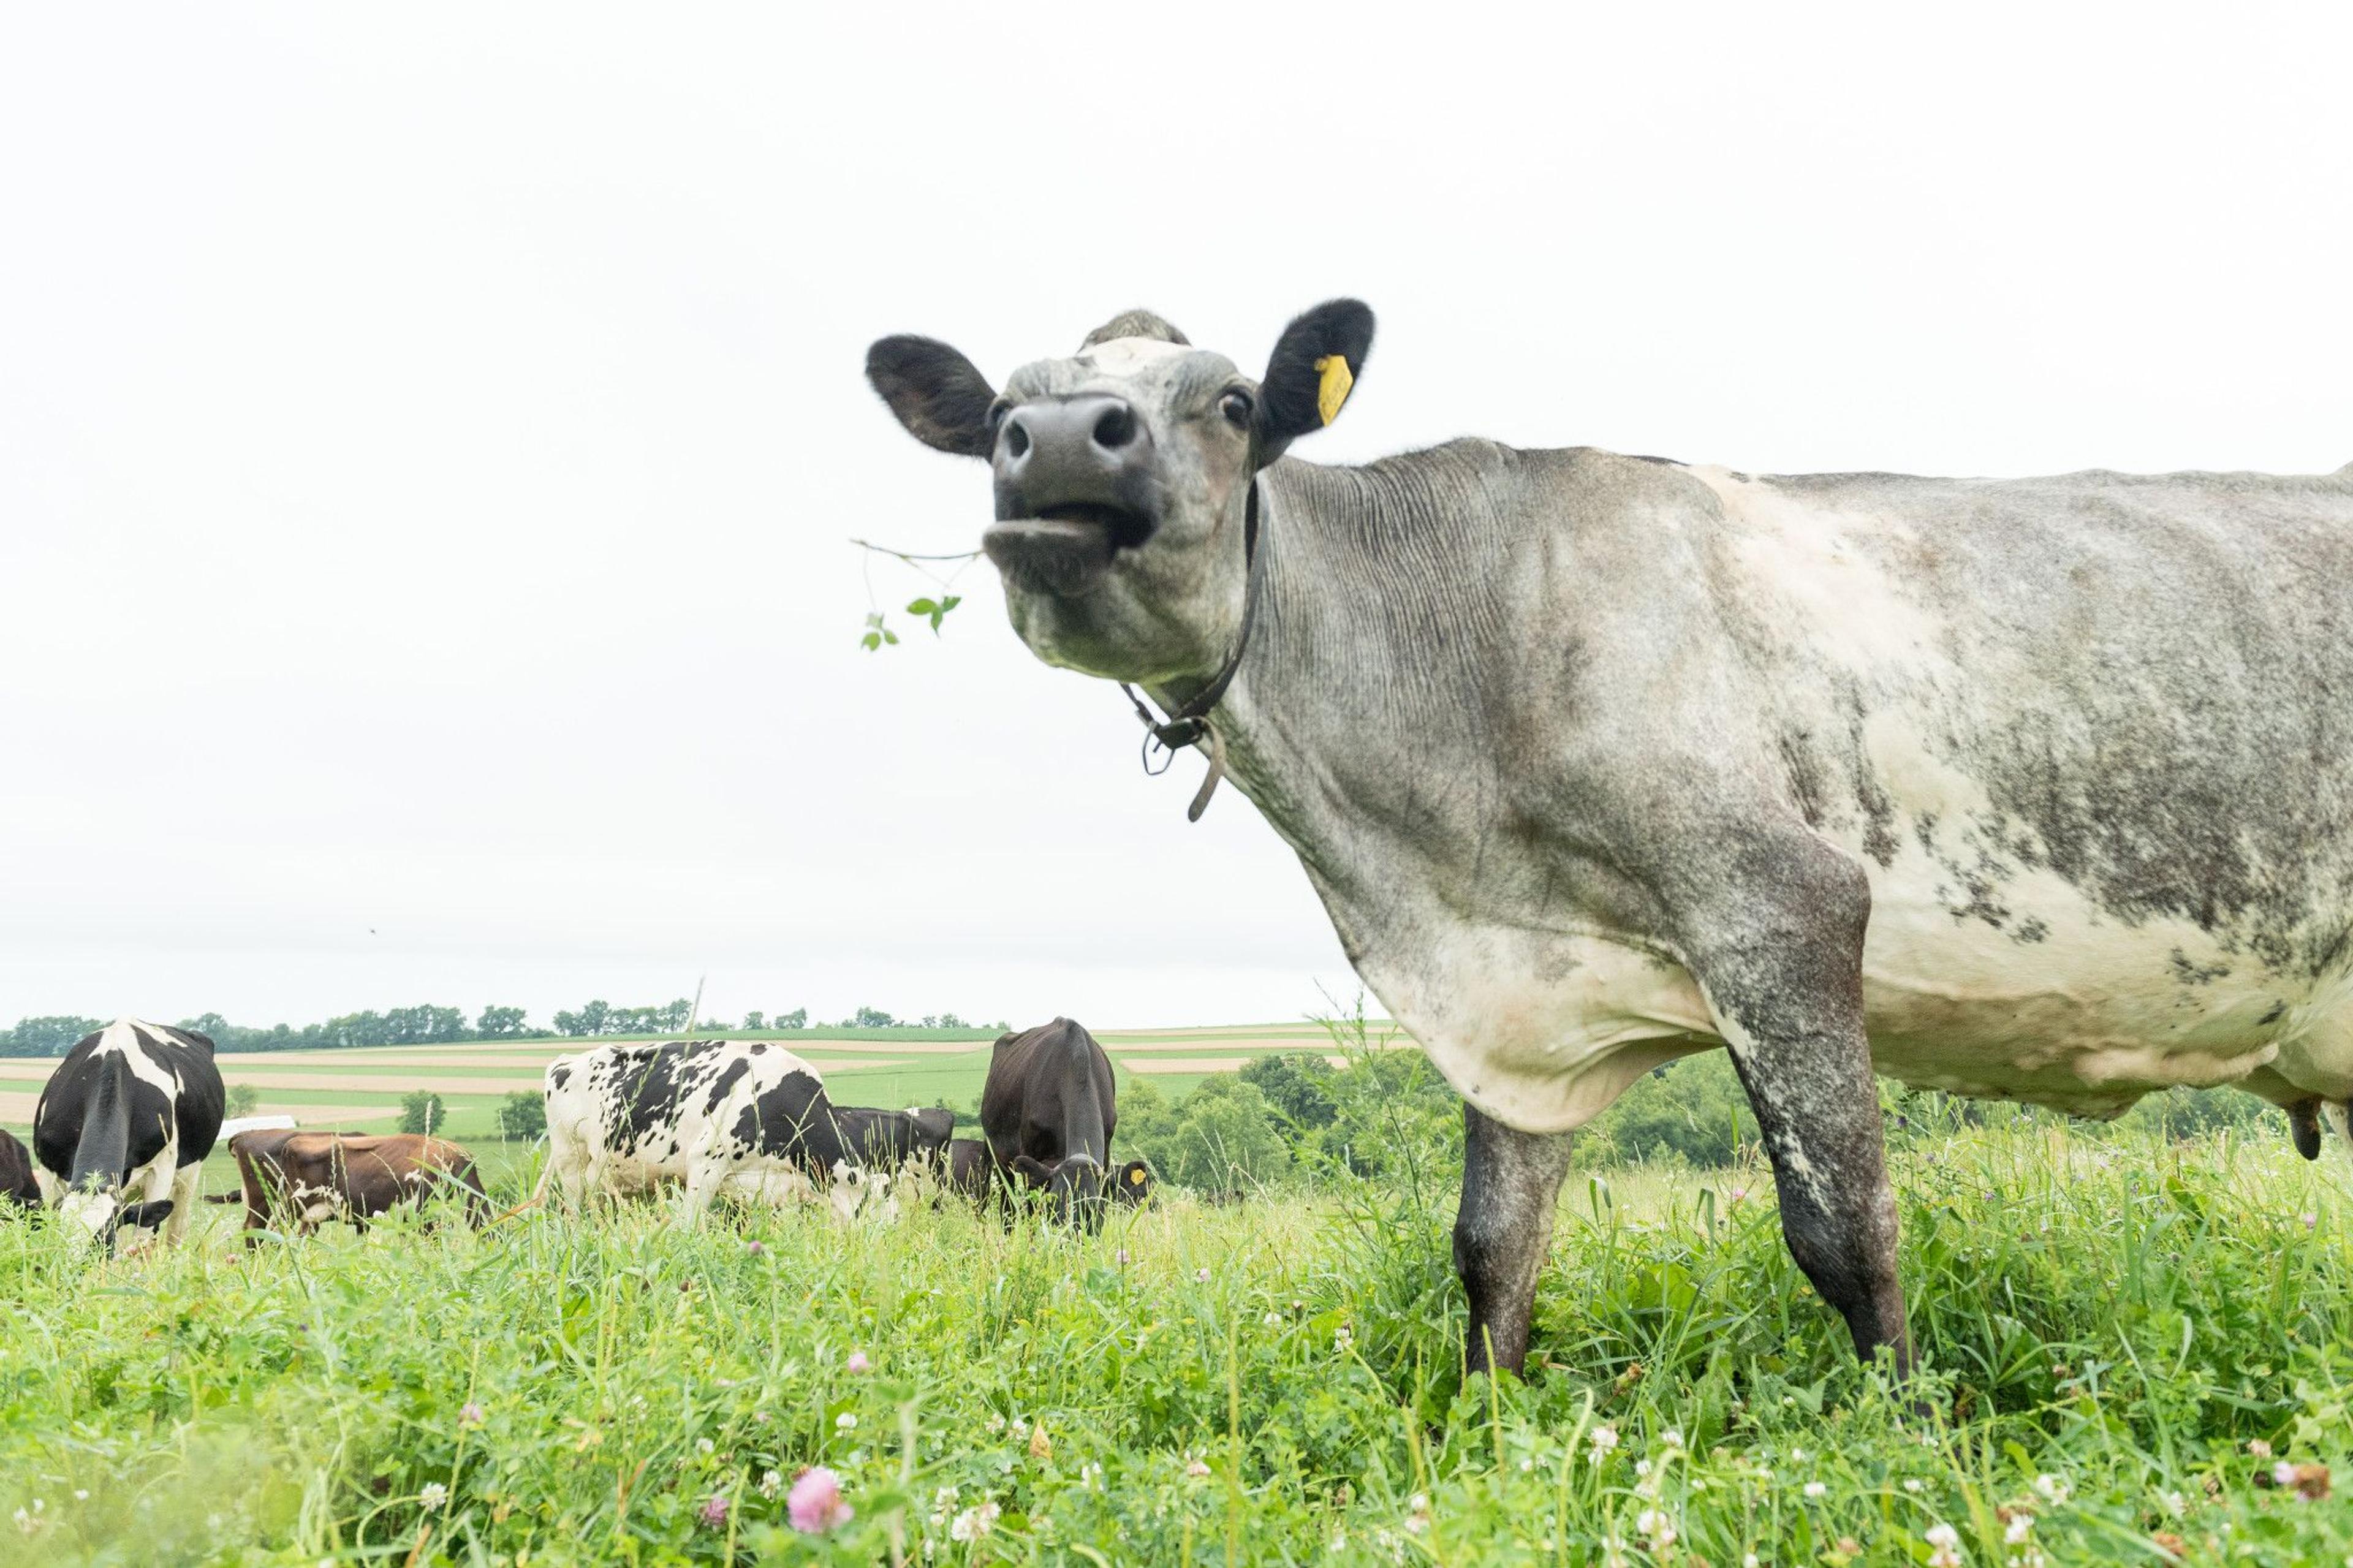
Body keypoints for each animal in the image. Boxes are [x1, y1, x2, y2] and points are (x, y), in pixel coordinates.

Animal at [30, 1012, 224, 1243]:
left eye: (106, 1242)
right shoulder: (49, 1174)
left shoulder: (161, 1172)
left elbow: (141, 1241)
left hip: (188, 1179)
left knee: (175, 1233)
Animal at [545, 1036, 950, 1224]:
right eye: (890, 1217)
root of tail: (565, 1060)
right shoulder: (705, 1164)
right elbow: (689, 1225)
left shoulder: (774, 1188)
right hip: (570, 1162)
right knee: (573, 1213)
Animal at [870, 298, 2353, 1374]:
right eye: (1001, 413)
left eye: (1232, 402)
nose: (1066, 438)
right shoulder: (1510, 993)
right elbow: (1492, 1248)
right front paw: (1484, 1432)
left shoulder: (1779, 905)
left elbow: (1846, 1227)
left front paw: (1911, 1425)